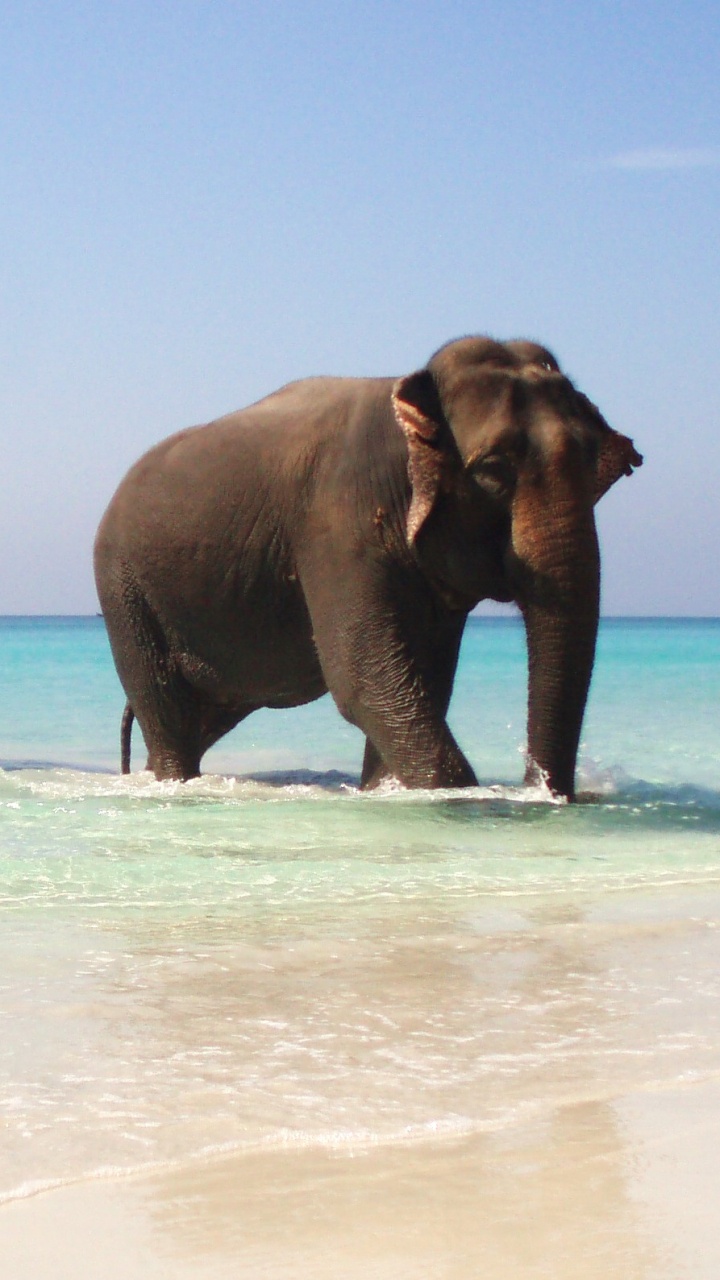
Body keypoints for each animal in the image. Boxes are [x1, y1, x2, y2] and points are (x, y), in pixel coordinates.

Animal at [94, 336, 642, 799]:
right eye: (493, 471)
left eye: (594, 463)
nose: (541, 789)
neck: (406, 399)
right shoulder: (336, 526)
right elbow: (364, 678)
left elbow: (422, 682)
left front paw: (384, 791)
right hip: (123, 591)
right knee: (167, 717)